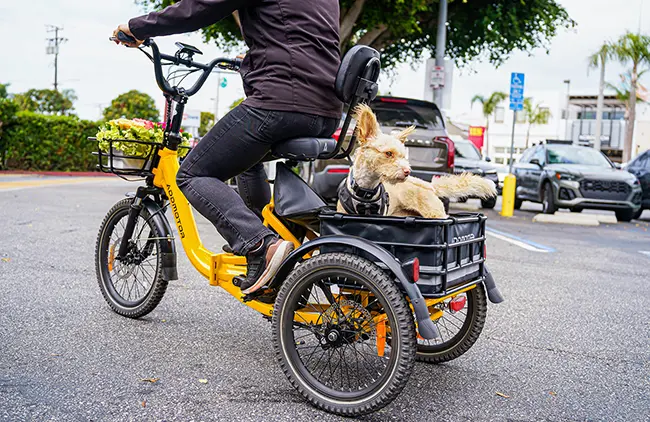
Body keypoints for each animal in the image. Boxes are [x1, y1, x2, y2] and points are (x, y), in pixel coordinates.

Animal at [336, 104, 494, 219]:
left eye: (403, 156)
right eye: (388, 153)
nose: (407, 172)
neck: (366, 192)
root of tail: (430, 186)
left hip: (436, 215)